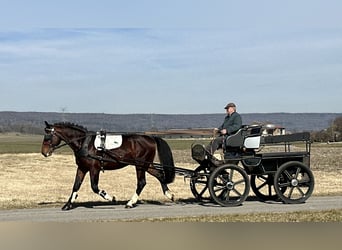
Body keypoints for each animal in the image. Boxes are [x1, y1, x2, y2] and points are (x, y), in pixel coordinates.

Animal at [41, 121, 176, 209]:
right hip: (146, 165)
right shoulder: (82, 168)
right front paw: (68, 204)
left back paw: (130, 203)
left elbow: (94, 187)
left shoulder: (94, 169)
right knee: (160, 175)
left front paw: (111, 198)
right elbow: (76, 186)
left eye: (48, 136)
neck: (84, 143)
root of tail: (151, 137)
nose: (44, 152)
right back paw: (169, 195)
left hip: (140, 165)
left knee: (142, 182)